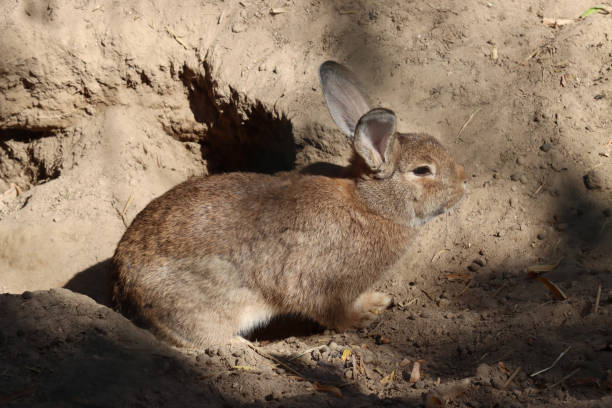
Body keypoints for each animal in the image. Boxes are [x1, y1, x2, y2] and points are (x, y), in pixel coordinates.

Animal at [110, 61, 466, 348]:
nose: (462, 185)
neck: (371, 205)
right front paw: (363, 317)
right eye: (422, 170)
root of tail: (124, 287)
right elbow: (331, 313)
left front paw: (376, 301)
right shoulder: (322, 285)